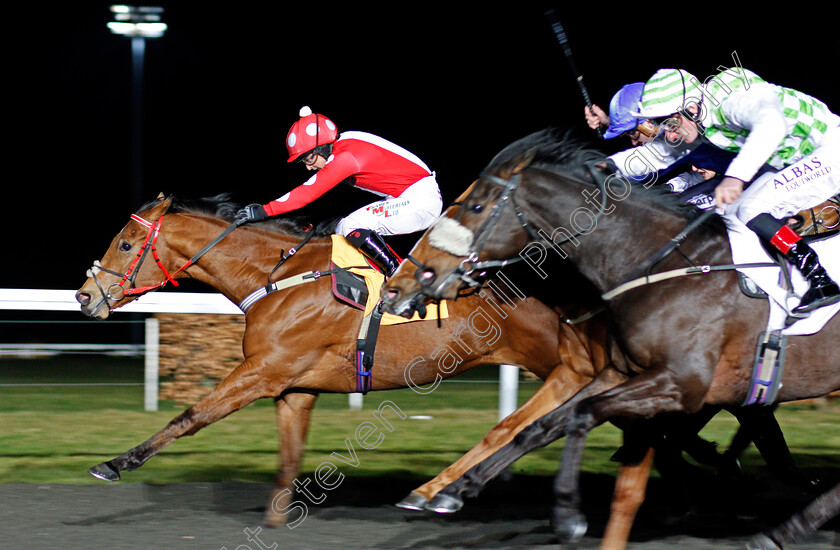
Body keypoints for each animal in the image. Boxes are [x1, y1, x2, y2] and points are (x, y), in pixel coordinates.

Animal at [74, 192, 616, 528]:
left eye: (125, 243)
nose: (83, 297)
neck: (278, 276)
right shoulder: (295, 388)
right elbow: (288, 457)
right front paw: (276, 519)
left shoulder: (264, 372)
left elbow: (190, 416)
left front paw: (115, 463)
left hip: (555, 357)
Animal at [382, 130, 840, 550]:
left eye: (477, 207)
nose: (403, 284)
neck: (660, 265)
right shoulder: (618, 372)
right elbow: (540, 426)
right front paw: (456, 489)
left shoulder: (681, 384)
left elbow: (583, 416)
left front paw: (569, 515)